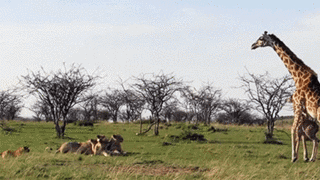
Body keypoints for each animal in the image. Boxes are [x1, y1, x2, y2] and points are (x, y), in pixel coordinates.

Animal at [251, 31, 320, 162]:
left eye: (261, 38)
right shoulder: (305, 111)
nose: (252, 45)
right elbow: (300, 131)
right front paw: (305, 157)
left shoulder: (298, 105)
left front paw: (294, 157)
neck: (298, 78)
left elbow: (294, 129)